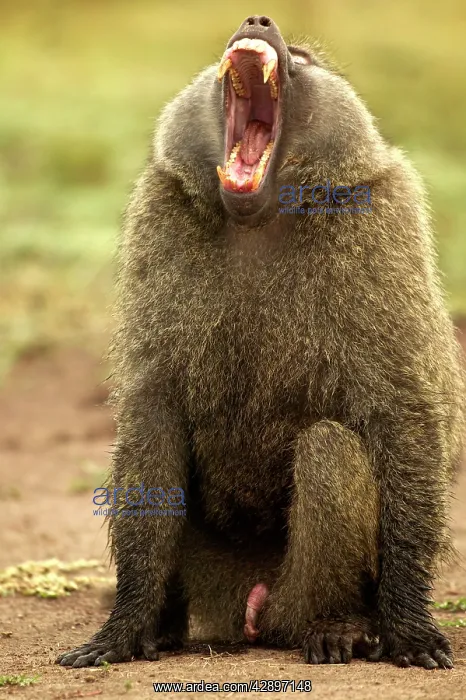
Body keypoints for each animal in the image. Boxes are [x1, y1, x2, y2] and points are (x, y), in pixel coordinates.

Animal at [57, 15, 465, 669]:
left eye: (299, 55)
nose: (256, 21)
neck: (261, 216)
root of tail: (250, 602)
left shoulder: (385, 217)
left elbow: (403, 411)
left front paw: (408, 624)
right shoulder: (159, 210)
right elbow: (153, 408)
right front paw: (126, 625)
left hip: (289, 592)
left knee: (329, 450)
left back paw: (337, 626)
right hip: (212, 573)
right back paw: (163, 624)